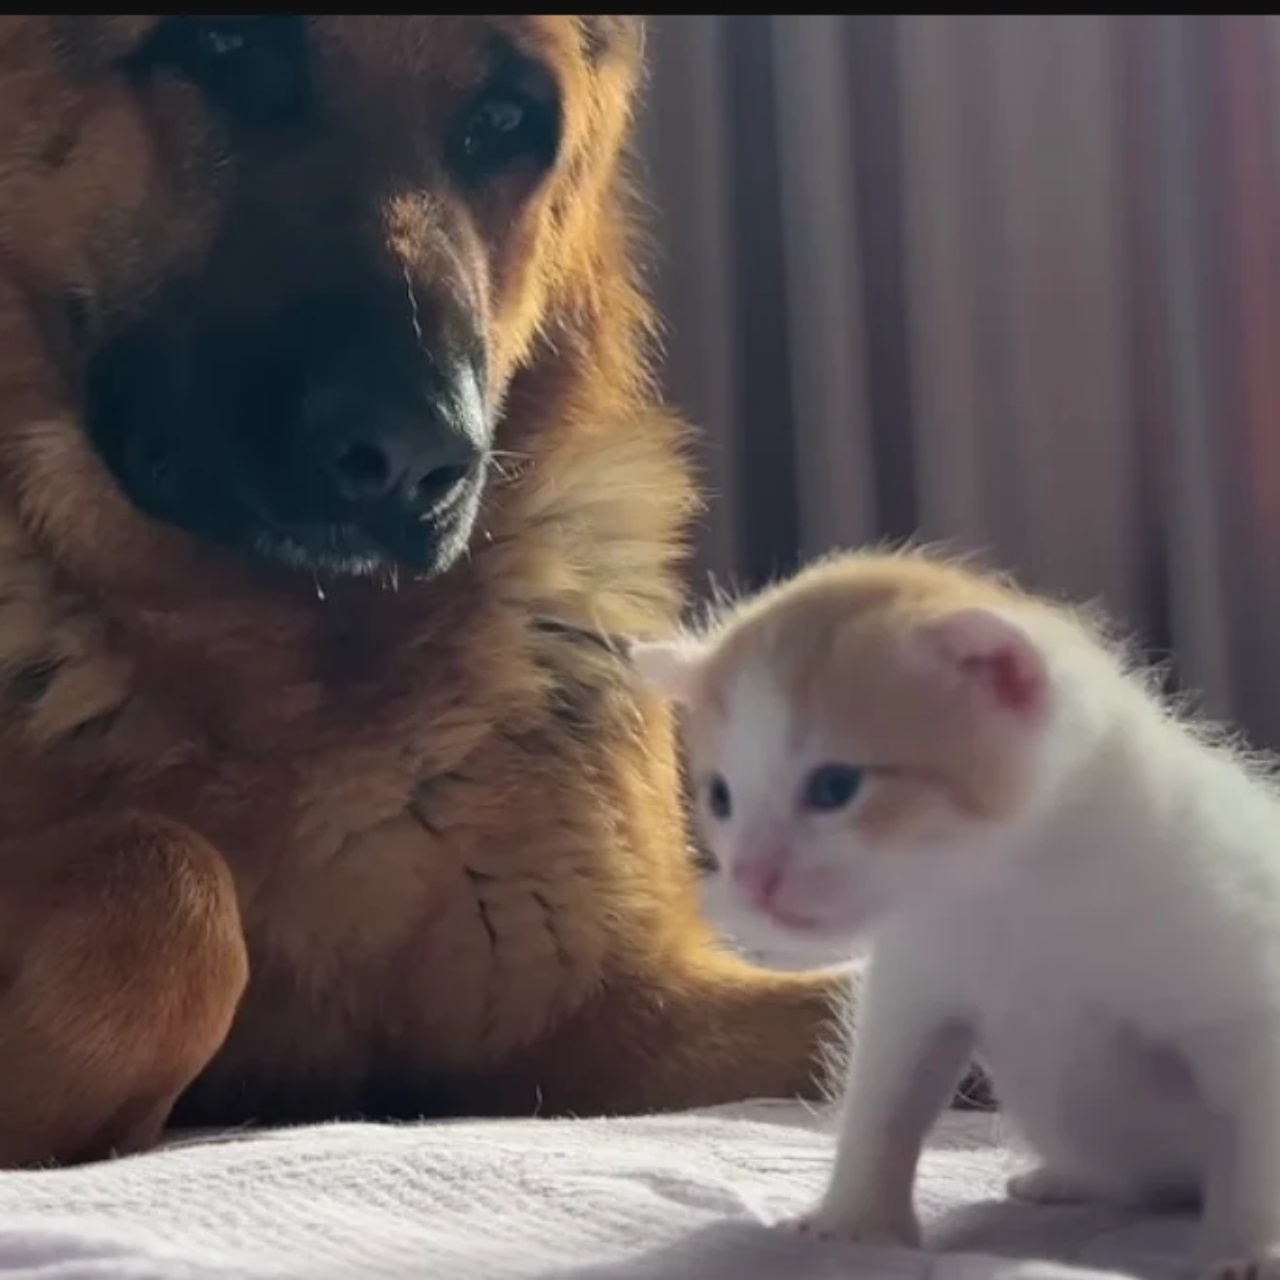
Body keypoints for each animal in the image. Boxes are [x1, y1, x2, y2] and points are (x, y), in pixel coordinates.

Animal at [0, 12, 839, 1172]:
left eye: (505, 120)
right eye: (222, 46)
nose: (416, 461)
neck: (290, 650)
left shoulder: (626, 1018)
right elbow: (169, 881)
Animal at [632, 547, 1280, 1280]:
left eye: (834, 787)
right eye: (720, 798)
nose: (751, 877)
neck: (1007, 888)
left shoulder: (1242, 983)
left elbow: (1256, 1128)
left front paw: (1248, 1248)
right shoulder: (916, 984)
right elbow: (887, 1097)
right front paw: (855, 1222)